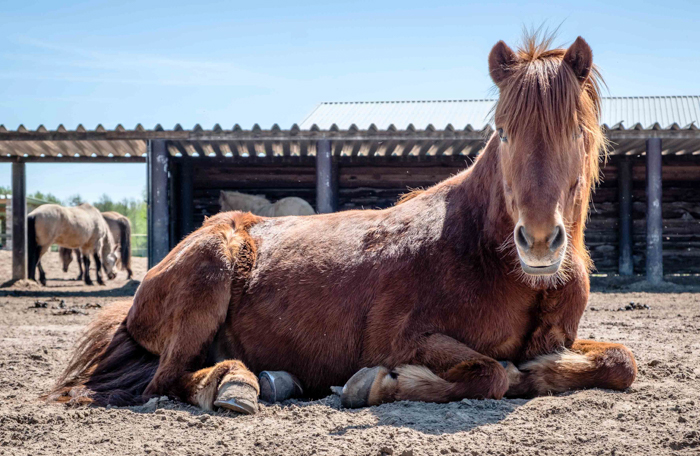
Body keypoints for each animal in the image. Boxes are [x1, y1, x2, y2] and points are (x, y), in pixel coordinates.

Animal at [50, 33, 636, 414]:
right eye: (505, 131)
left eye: (579, 133)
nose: (538, 242)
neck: (486, 255)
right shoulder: (405, 337)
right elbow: (490, 372)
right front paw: (379, 385)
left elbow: (622, 361)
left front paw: (541, 373)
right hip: (208, 272)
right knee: (167, 381)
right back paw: (236, 386)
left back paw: (271, 379)